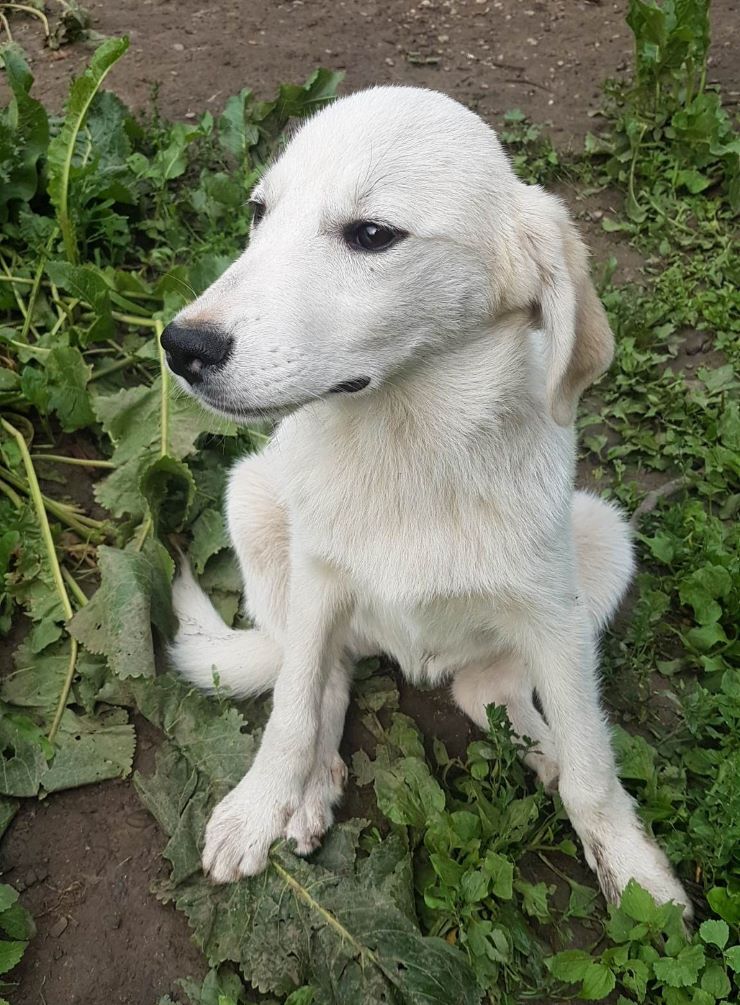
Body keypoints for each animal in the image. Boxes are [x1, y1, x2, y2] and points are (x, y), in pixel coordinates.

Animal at [160, 86, 687, 916]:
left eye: (373, 235)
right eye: (258, 212)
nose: (182, 346)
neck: (404, 445)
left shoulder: (554, 612)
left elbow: (594, 764)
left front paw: (635, 872)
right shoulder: (318, 578)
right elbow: (292, 709)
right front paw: (261, 802)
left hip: (601, 538)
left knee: (485, 687)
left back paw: (538, 749)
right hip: (252, 499)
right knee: (324, 676)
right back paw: (310, 789)